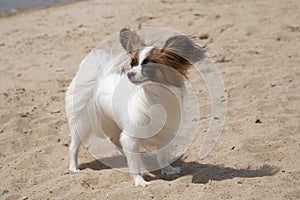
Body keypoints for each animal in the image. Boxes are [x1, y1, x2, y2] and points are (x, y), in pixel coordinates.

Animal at [65, 28, 204, 188]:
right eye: (132, 64)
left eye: (148, 66)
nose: (129, 74)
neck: (153, 94)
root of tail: (99, 77)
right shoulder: (131, 136)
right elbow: (135, 163)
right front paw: (139, 181)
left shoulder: (166, 133)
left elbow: (163, 155)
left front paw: (168, 170)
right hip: (81, 123)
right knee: (73, 147)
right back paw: (73, 168)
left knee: (115, 140)